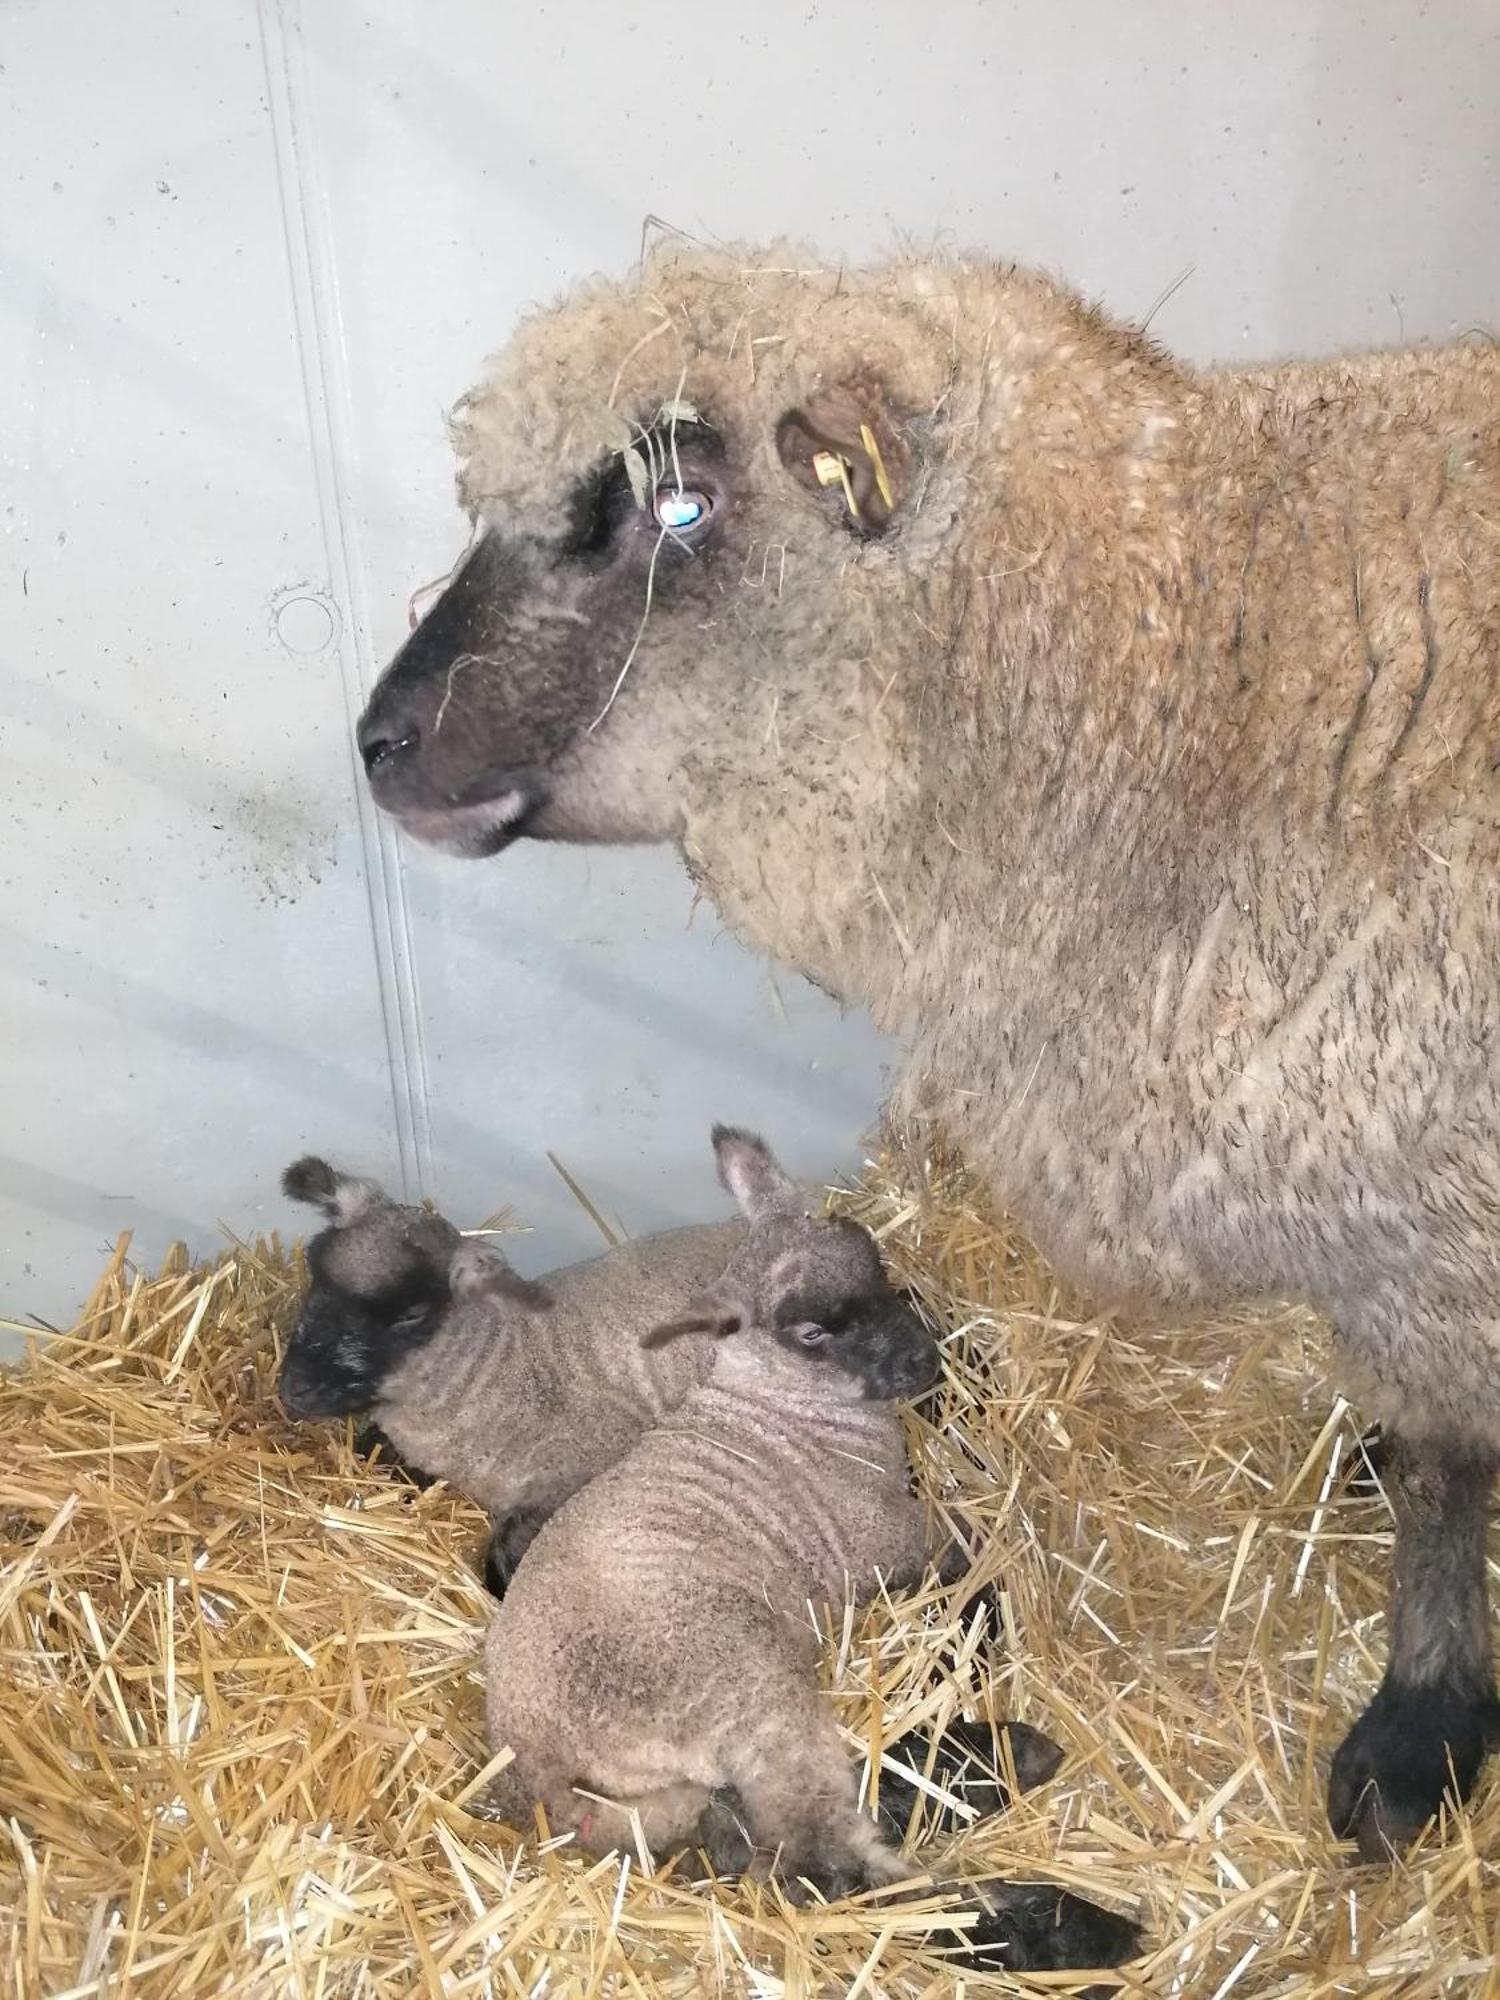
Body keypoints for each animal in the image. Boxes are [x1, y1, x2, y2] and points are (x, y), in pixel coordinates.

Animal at [350, 238, 1500, 1856]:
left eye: (677, 503)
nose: (378, 745)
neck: (1204, 691)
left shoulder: (1440, 1227)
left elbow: (1453, 1463)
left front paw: (1418, 1728)